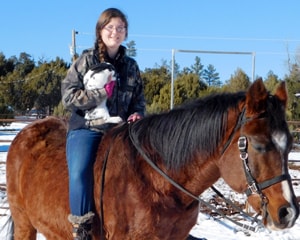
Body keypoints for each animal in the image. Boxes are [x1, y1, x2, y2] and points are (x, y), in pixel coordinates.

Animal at [4, 79, 300, 238]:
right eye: (259, 145)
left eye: (289, 145)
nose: (288, 213)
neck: (157, 180)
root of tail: (25, 134)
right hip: (24, 223)